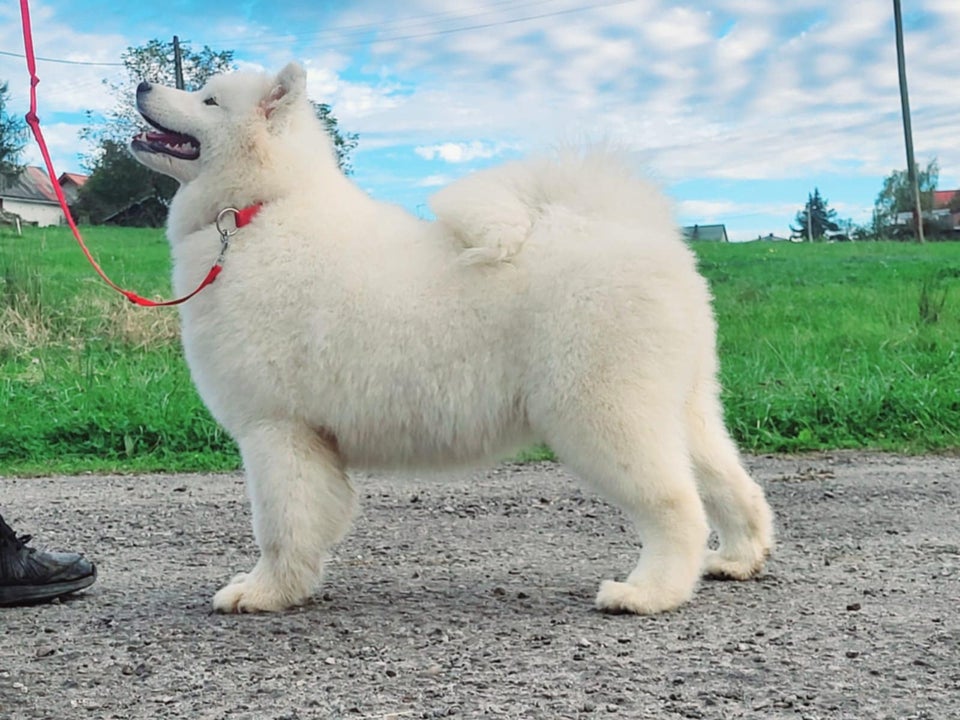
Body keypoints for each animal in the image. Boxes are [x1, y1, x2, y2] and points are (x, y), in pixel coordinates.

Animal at [129, 62, 772, 616]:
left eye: (208, 101)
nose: (141, 85)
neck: (259, 212)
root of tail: (639, 233)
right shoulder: (302, 438)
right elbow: (307, 523)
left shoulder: (276, 430)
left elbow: (280, 527)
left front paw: (264, 593)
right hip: (684, 406)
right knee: (730, 485)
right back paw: (738, 559)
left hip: (603, 414)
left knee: (677, 505)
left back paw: (649, 592)